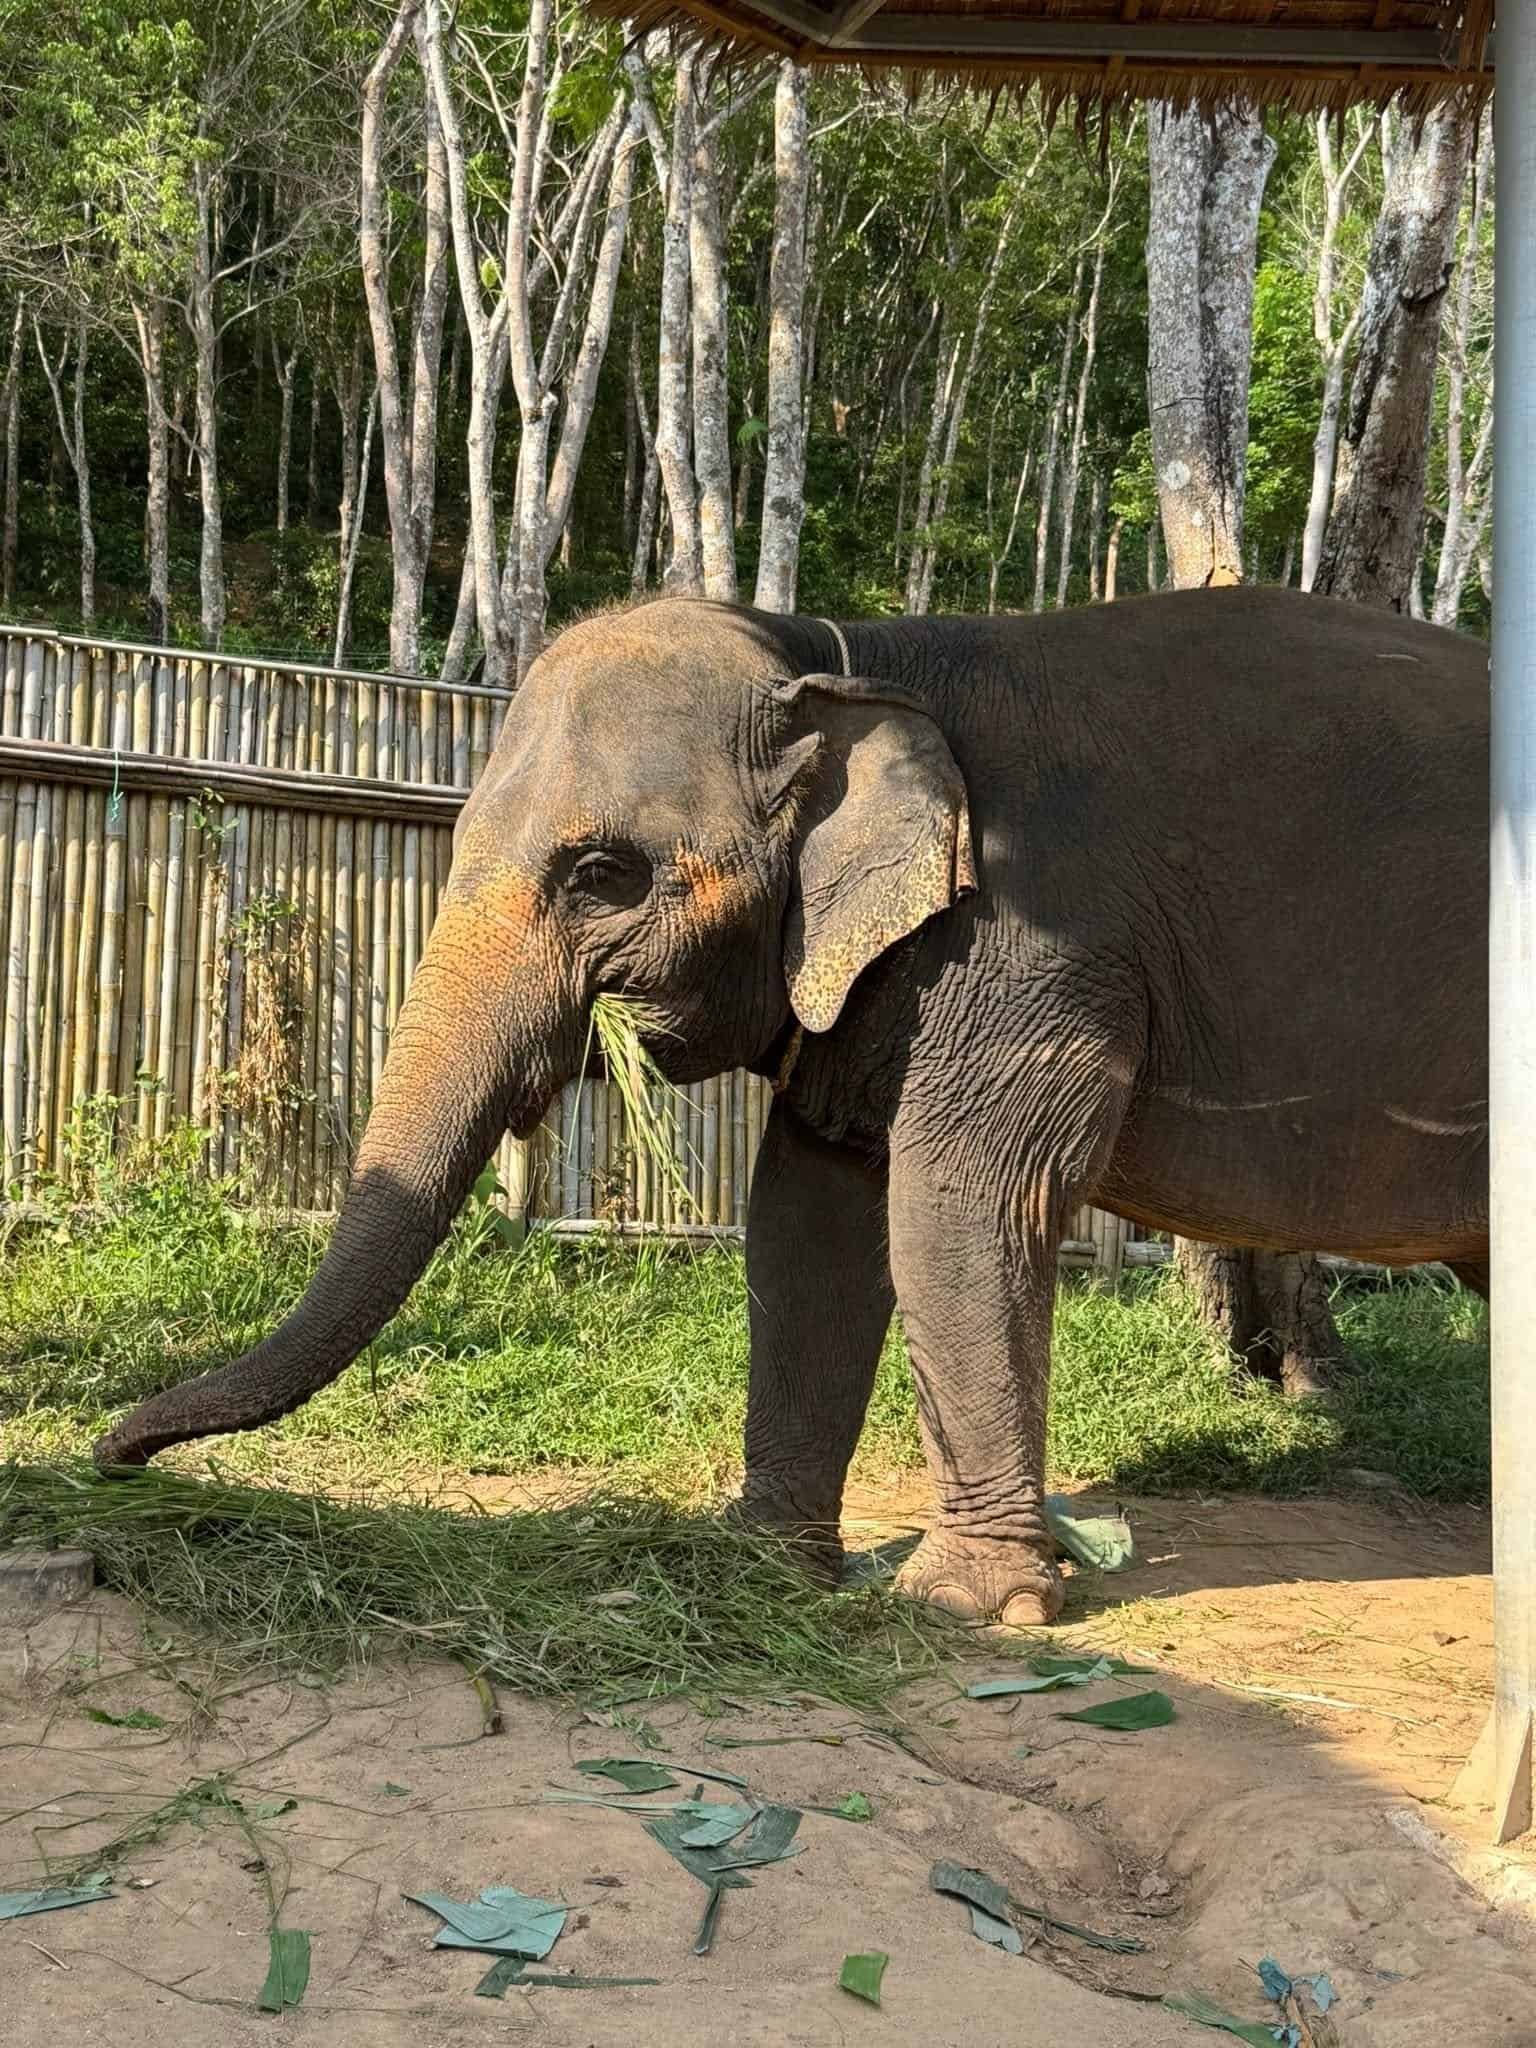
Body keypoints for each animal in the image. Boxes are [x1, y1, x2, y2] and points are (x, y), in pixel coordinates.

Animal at [95, 588, 1489, 1625]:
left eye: (603, 873)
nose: (109, 1453)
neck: (845, 651)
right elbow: (811, 1212)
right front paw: (762, 1564)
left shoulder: (1041, 947)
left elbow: (958, 1203)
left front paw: (965, 1606)